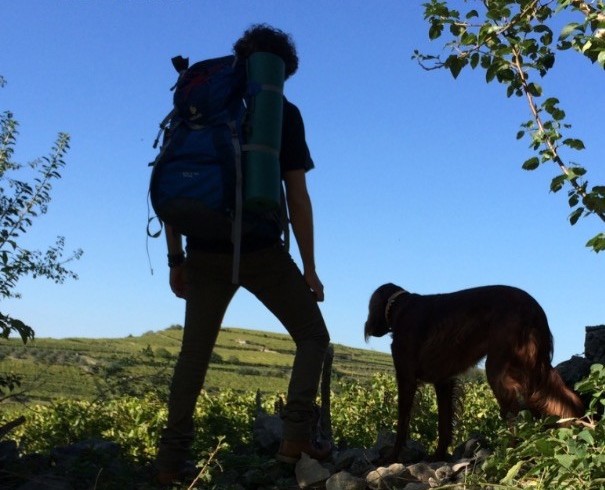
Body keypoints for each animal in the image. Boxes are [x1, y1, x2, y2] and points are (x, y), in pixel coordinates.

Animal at [364, 284, 584, 464]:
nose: (368, 327)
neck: (401, 307)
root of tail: (535, 308)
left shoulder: (406, 378)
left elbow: (402, 422)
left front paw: (392, 457)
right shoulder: (443, 381)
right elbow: (444, 422)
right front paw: (439, 455)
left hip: (499, 369)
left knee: (514, 411)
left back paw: (511, 451)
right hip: (531, 368)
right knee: (554, 400)